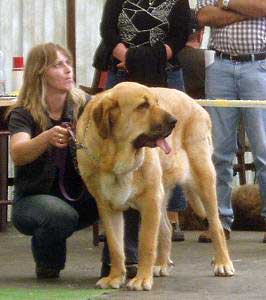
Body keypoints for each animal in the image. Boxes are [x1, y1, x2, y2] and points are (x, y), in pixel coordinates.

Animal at [76, 81, 234, 290]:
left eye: (157, 102)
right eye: (143, 106)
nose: (174, 121)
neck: (115, 158)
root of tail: (194, 102)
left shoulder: (150, 201)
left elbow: (146, 244)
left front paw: (142, 279)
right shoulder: (107, 207)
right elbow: (116, 246)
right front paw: (115, 277)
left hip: (204, 180)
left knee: (216, 225)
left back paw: (223, 263)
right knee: (166, 228)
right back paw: (161, 264)